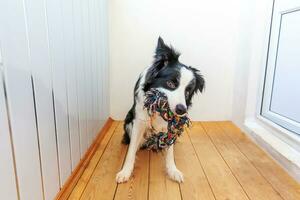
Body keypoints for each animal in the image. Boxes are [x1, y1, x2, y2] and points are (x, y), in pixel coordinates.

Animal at [116, 37, 205, 183]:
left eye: (187, 92)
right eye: (171, 83)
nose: (181, 110)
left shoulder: (171, 126)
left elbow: (170, 152)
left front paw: (173, 170)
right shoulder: (139, 120)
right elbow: (131, 150)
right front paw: (125, 172)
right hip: (129, 120)